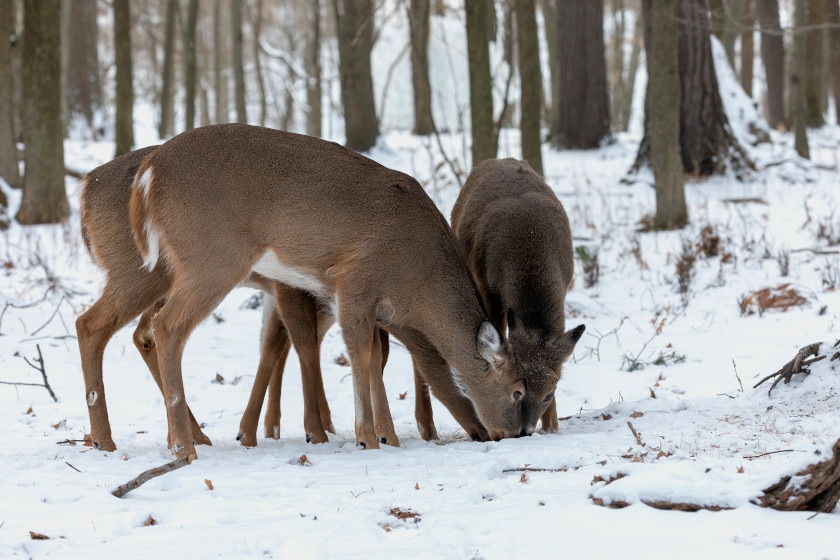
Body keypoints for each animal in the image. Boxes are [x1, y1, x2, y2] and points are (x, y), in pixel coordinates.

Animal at [125, 122, 524, 460]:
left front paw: (386, 437)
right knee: (167, 326)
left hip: (183, 264)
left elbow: (373, 357)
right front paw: (367, 438)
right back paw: (184, 446)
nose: (513, 434)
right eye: (518, 390)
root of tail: (149, 171)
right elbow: (359, 353)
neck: (420, 279)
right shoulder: (355, 279)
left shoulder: (361, 302)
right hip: (213, 257)